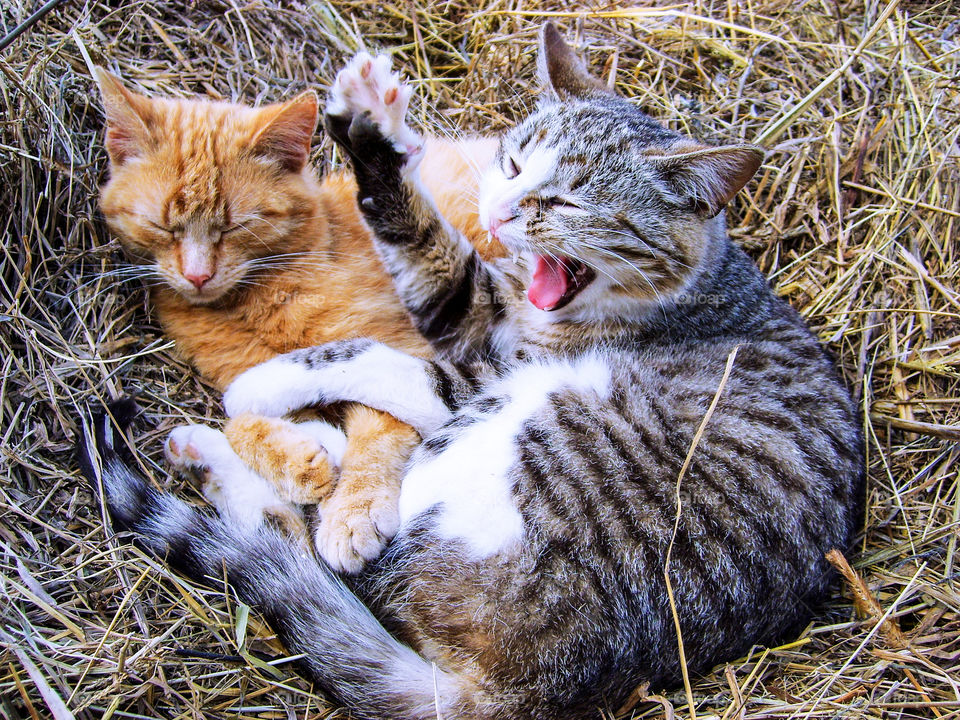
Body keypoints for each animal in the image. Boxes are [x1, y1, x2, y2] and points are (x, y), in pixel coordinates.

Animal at [97, 69, 498, 572]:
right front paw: (300, 461)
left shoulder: (403, 342)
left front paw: (354, 508)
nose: (197, 275)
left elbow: (375, 422)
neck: (249, 302)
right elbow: (239, 417)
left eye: (234, 226)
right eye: (163, 226)